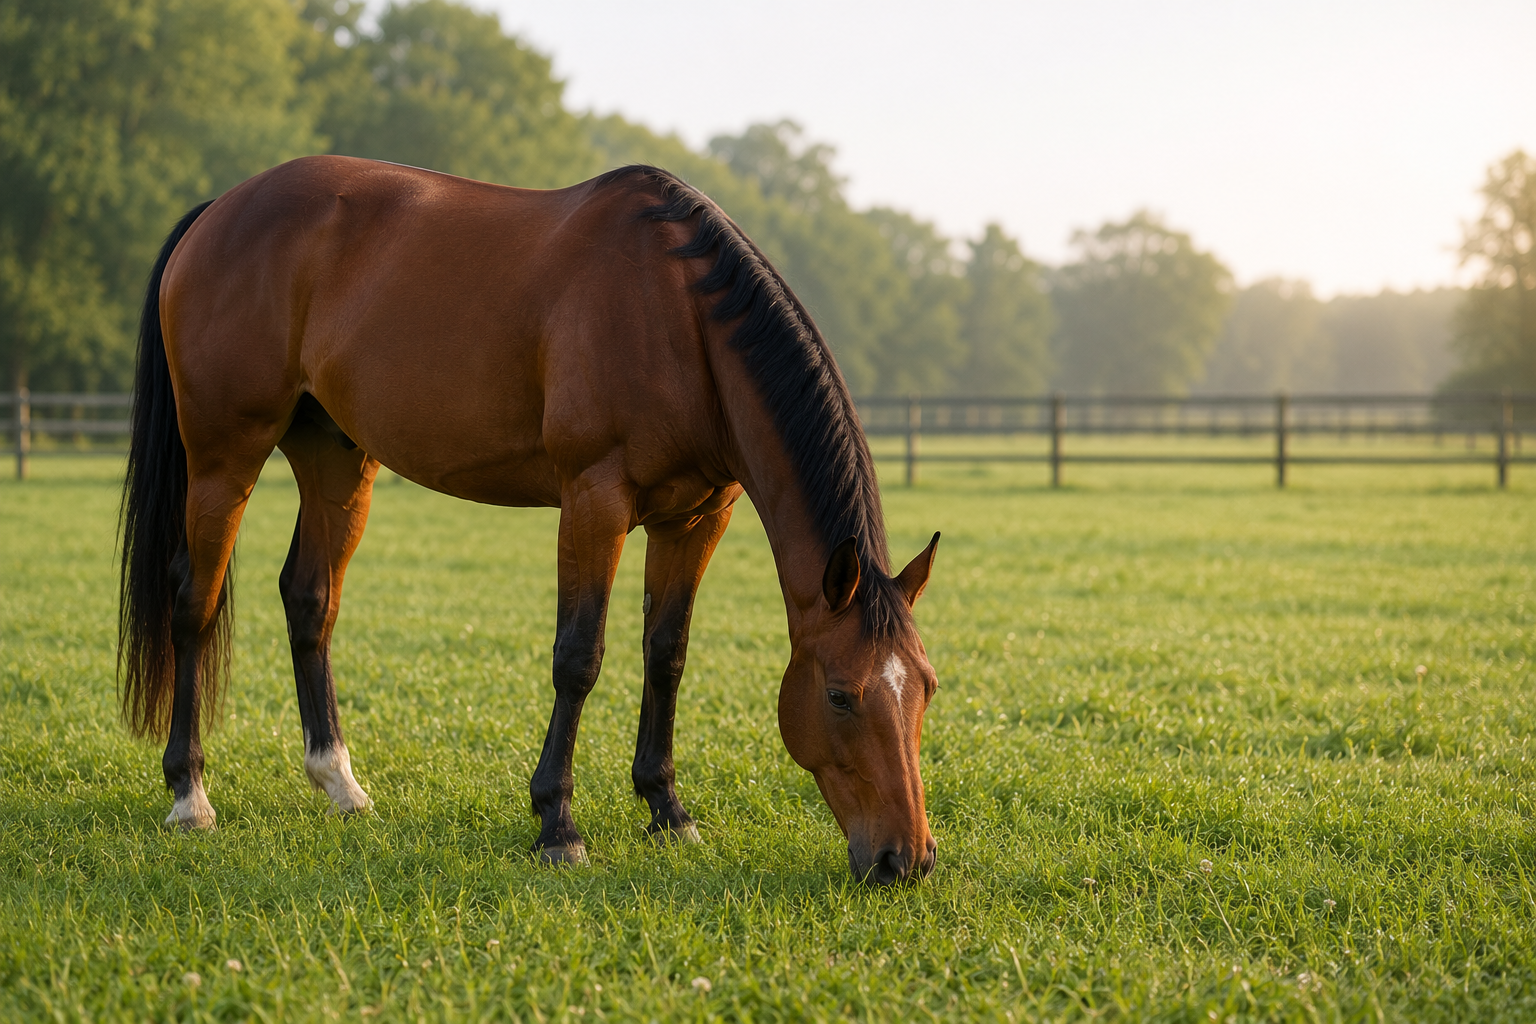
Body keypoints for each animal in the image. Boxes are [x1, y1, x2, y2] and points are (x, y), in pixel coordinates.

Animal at [118, 155, 942, 884]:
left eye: (927, 688)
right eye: (840, 695)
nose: (906, 860)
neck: (676, 313)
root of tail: (220, 210)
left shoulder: (696, 518)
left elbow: (666, 655)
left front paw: (667, 810)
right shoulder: (593, 500)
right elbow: (578, 658)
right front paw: (558, 824)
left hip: (336, 461)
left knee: (310, 599)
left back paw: (339, 783)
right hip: (223, 458)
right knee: (193, 603)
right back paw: (190, 794)